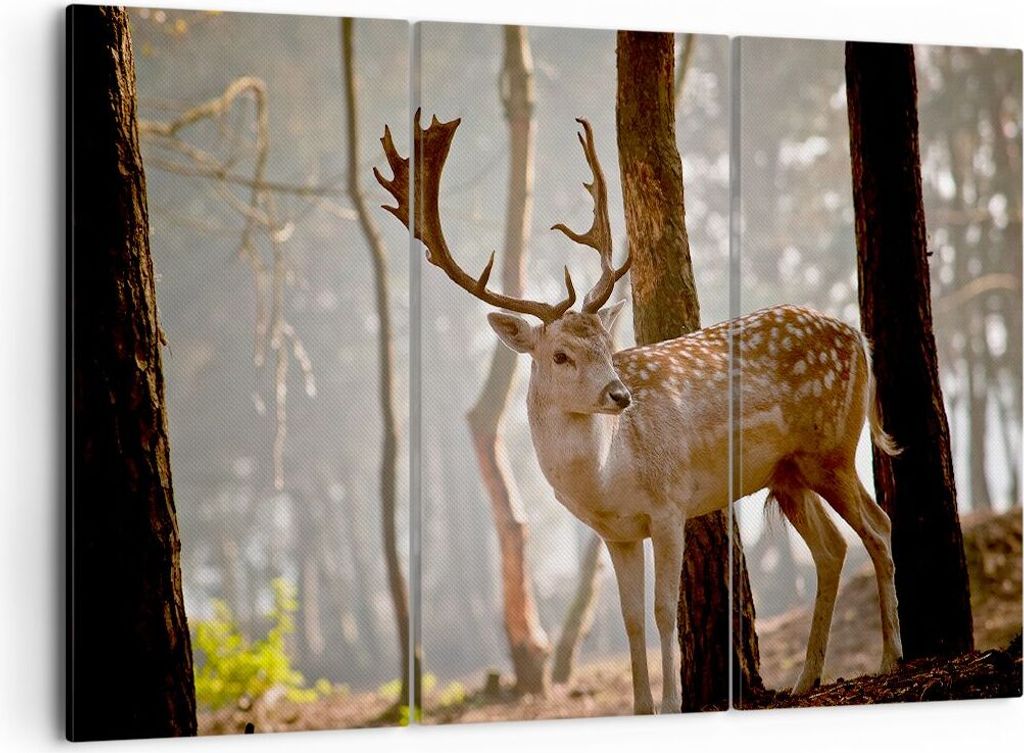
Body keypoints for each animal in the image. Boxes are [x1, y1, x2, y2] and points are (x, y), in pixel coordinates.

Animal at [374, 111, 904, 714]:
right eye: (561, 354)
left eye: (608, 345)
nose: (619, 395)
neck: (606, 478)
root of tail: (859, 338)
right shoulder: (617, 533)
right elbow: (629, 618)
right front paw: (641, 707)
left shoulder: (670, 505)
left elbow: (661, 610)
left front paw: (674, 704)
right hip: (789, 471)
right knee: (833, 548)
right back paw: (806, 679)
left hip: (830, 446)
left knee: (878, 528)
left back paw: (890, 659)